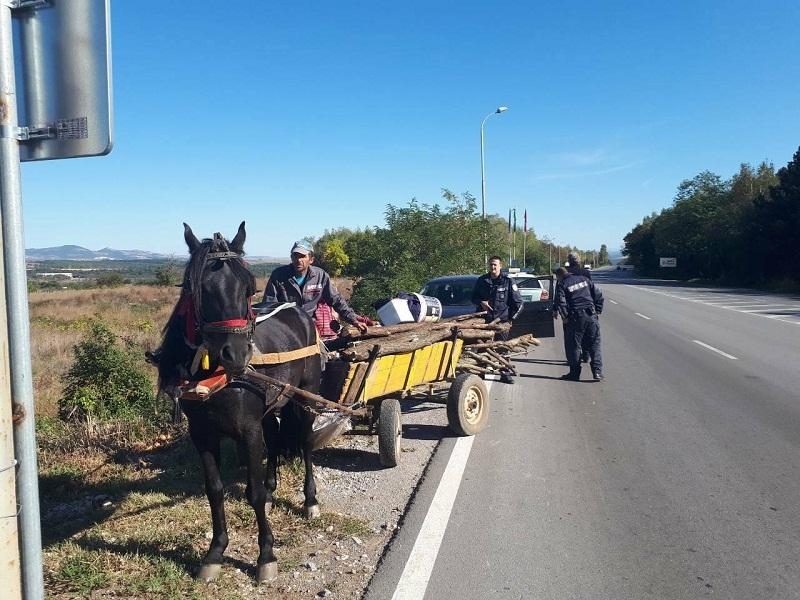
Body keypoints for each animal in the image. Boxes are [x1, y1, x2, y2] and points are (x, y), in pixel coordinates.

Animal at [152, 223, 320, 584]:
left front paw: (266, 555)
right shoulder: (203, 434)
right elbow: (214, 489)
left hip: (304, 397)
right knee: (274, 439)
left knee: (305, 443)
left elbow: (252, 492)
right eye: (198, 288)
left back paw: (310, 499)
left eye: (248, 289)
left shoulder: (247, 429)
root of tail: (297, 310)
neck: (214, 377)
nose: (237, 354)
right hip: (271, 405)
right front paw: (215, 552)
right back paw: (272, 489)